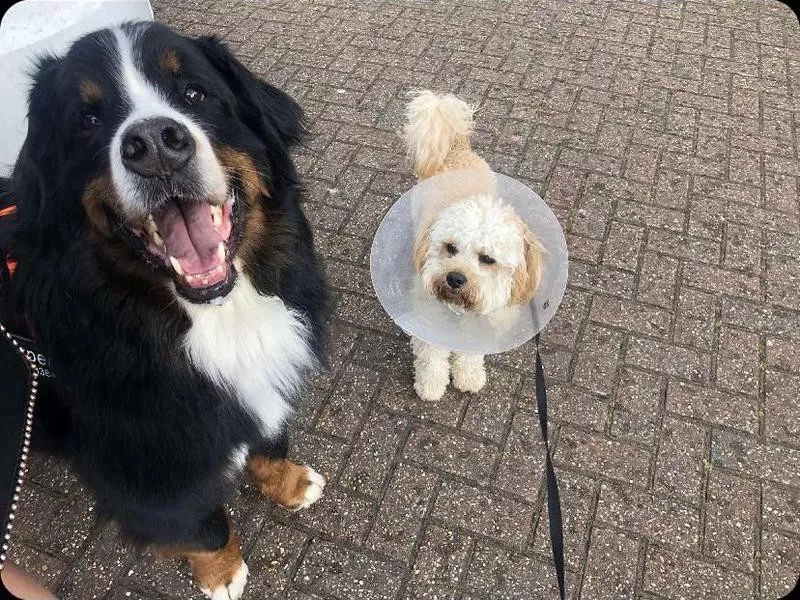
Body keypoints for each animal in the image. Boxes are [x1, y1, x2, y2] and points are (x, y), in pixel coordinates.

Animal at [2, 19, 328, 600]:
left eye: (194, 93)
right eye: (87, 121)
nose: (154, 145)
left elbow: (270, 439)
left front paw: (289, 482)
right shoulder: (144, 470)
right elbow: (201, 526)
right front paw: (222, 571)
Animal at [406, 91, 544, 400]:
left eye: (488, 259)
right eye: (450, 247)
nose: (455, 278)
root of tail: (457, 146)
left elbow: (469, 354)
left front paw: (468, 376)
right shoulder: (430, 322)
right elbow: (432, 357)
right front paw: (431, 385)